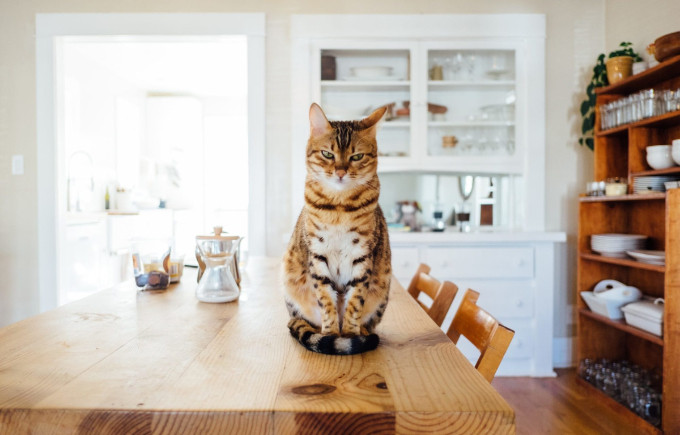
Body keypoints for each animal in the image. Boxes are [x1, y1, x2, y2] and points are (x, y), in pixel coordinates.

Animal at [282, 104, 390, 356]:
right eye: (327, 154)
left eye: (357, 156)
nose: (340, 172)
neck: (339, 208)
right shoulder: (318, 254)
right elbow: (326, 301)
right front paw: (331, 335)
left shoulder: (362, 257)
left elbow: (355, 302)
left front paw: (350, 335)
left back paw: (363, 333)